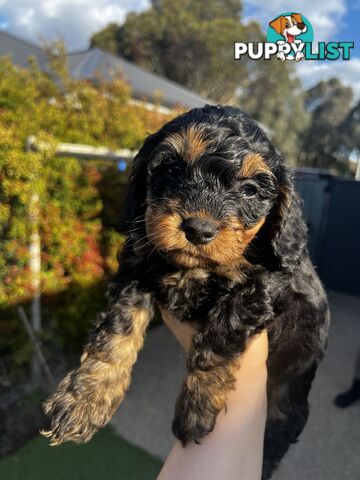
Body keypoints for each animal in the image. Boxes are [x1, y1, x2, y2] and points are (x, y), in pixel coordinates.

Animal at [42, 106, 330, 480]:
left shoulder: (267, 285)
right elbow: (116, 332)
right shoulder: (137, 269)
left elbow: (219, 337)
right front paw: (84, 399)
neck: (193, 267)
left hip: (289, 390)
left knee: (281, 428)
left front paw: (197, 406)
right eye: (173, 169)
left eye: (250, 191)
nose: (199, 229)